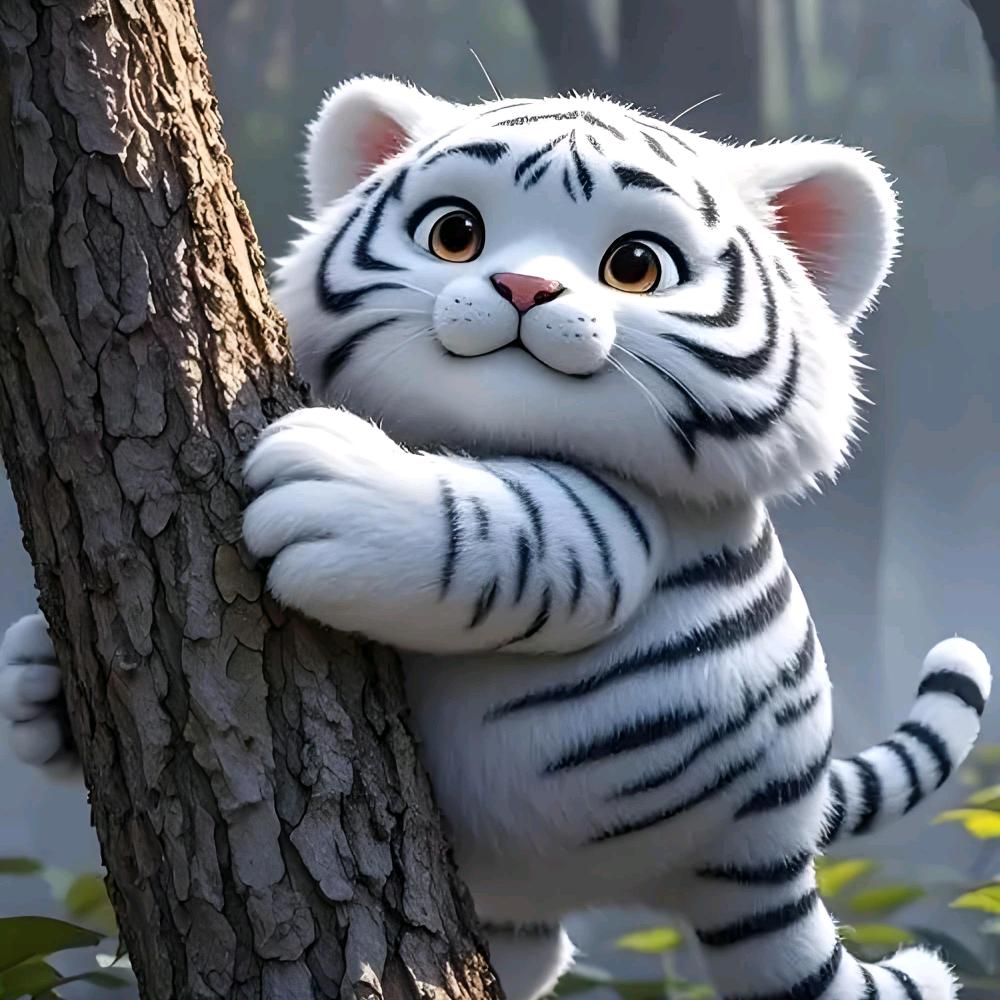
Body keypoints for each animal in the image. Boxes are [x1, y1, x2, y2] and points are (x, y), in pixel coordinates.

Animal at [0, 76, 992, 1000]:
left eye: (637, 266)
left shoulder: (622, 525)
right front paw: (36, 680)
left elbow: (505, 527)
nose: (523, 287)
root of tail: (774, 837)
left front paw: (331, 485)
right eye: (455, 234)